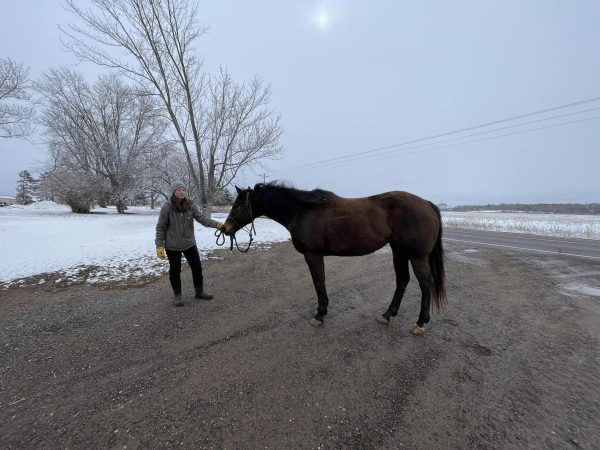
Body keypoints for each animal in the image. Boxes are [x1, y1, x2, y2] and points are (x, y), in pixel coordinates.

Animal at [223, 182, 448, 334]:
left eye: (238, 206)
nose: (225, 229)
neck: (304, 211)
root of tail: (427, 204)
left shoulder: (313, 255)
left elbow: (318, 282)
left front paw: (319, 314)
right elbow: (320, 282)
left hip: (417, 257)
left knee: (426, 285)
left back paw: (420, 323)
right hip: (399, 251)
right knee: (402, 281)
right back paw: (387, 315)